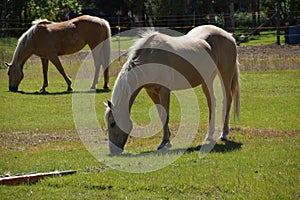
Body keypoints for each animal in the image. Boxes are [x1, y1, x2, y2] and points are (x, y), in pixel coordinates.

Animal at [105, 25, 241, 155]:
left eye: (112, 124)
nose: (113, 151)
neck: (150, 56)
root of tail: (229, 36)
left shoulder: (164, 90)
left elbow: (165, 115)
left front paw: (164, 143)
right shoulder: (151, 91)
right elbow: (161, 114)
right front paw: (167, 141)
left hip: (225, 76)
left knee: (227, 101)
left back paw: (224, 134)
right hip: (207, 80)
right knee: (212, 102)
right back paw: (209, 136)